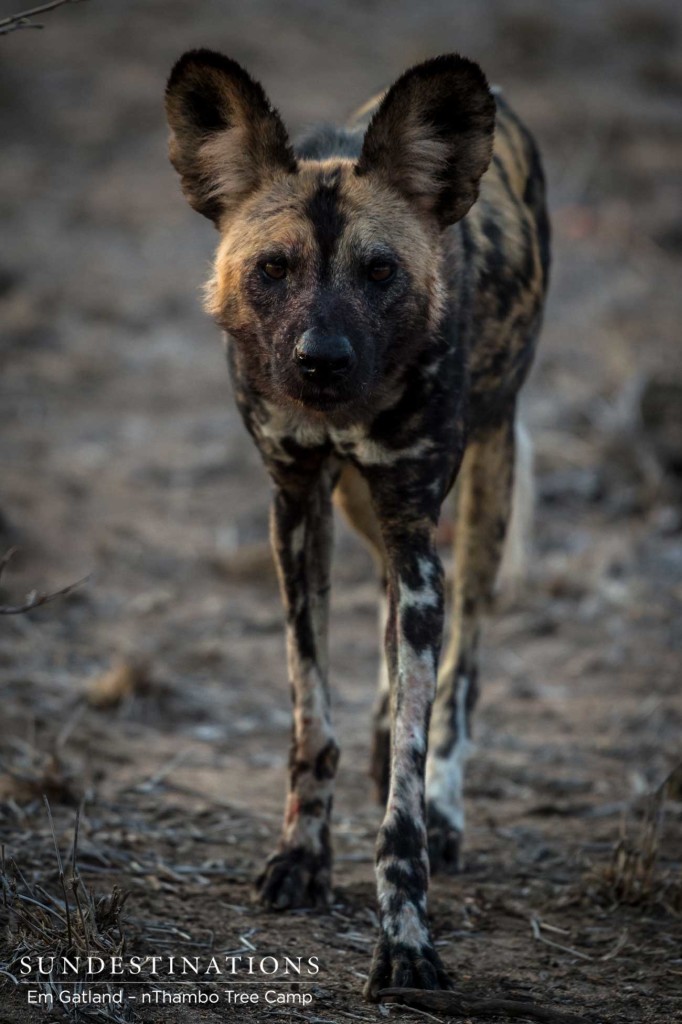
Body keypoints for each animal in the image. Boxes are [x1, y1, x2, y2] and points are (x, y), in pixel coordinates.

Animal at [166, 51, 548, 995]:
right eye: (273, 268)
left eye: (380, 272)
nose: (321, 362)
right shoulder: (299, 505)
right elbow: (313, 719)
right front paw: (302, 857)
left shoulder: (417, 528)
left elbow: (408, 778)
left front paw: (405, 938)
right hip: (359, 508)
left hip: (483, 490)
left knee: (464, 664)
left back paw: (446, 803)